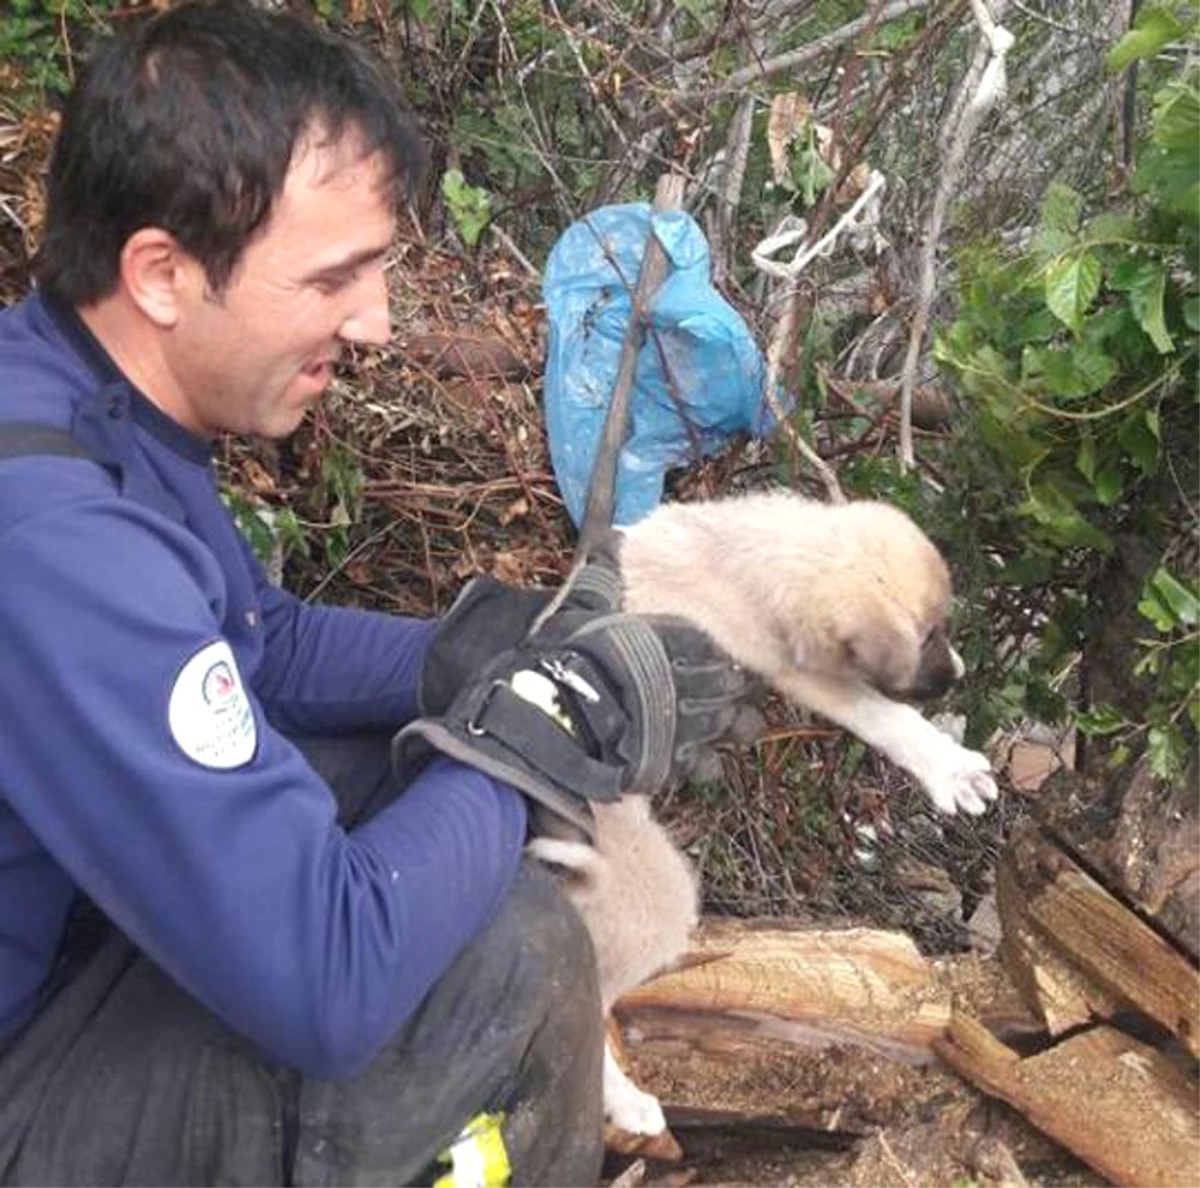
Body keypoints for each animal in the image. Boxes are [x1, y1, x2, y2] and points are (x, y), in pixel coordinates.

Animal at [530, 489, 998, 1132]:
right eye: (928, 635)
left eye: (944, 626)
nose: (958, 673)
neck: (744, 553)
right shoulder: (801, 671)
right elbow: (886, 716)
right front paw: (951, 770)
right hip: (655, 898)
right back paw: (630, 1105)